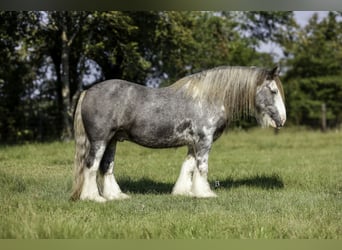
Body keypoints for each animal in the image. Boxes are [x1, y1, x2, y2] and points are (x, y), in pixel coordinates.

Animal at [71, 65, 286, 202]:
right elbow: (202, 168)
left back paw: (115, 196)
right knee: (91, 166)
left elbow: (188, 167)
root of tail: (88, 91)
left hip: (113, 140)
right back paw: (93, 198)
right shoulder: (204, 141)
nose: (282, 120)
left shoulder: (193, 144)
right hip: (100, 140)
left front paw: (184, 192)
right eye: (273, 91)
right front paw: (205, 193)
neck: (209, 98)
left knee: (106, 167)